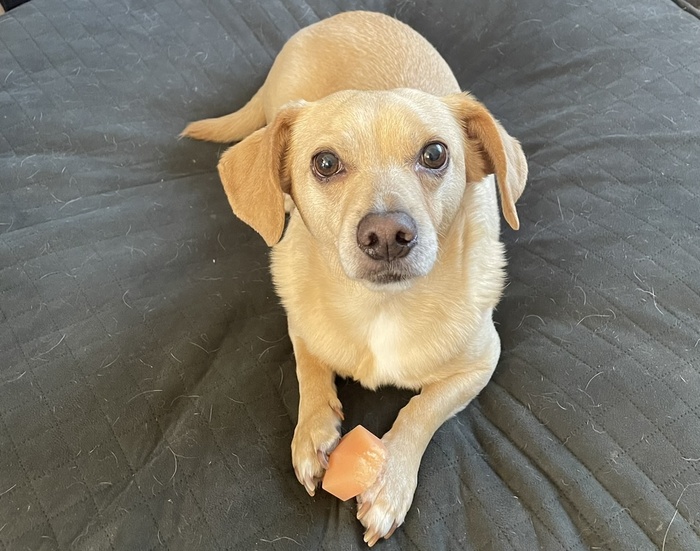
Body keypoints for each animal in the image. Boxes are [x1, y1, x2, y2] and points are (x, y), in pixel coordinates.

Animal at [180, 11, 524, 548]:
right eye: (324, 163)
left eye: (435, 154)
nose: (386, 235)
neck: (380, 308)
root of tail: (332, 19)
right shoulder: (300, 326)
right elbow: (309, 369)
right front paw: (313, 432)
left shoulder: (481, 362)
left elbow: (420, 410)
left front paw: (391, 479)